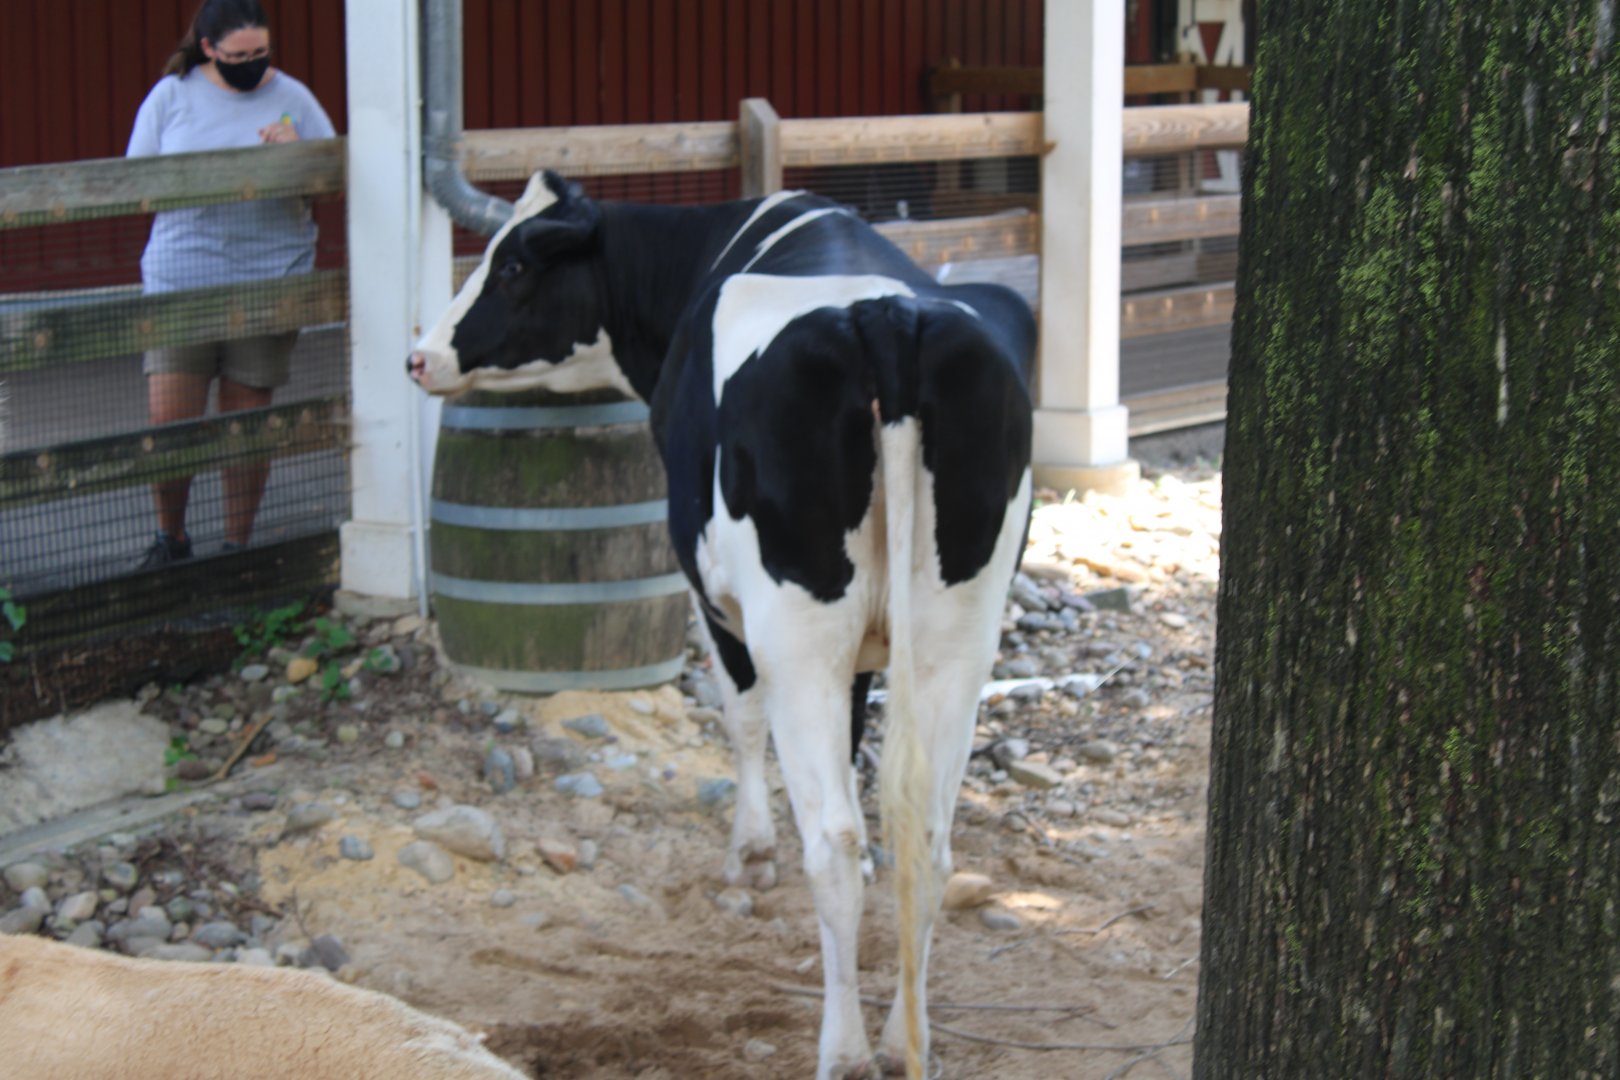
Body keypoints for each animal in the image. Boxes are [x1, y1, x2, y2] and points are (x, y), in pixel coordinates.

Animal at [409, 172, 1035, 1080]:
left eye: (515, 262)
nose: (419, 355)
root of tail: (886, 318)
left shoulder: (719, 604)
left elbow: (739, 719)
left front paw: (750, 853)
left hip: (797, 629)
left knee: (834, 841)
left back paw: (844, 1051)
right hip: (958, 628)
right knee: (927, 834)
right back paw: (899, 1041)